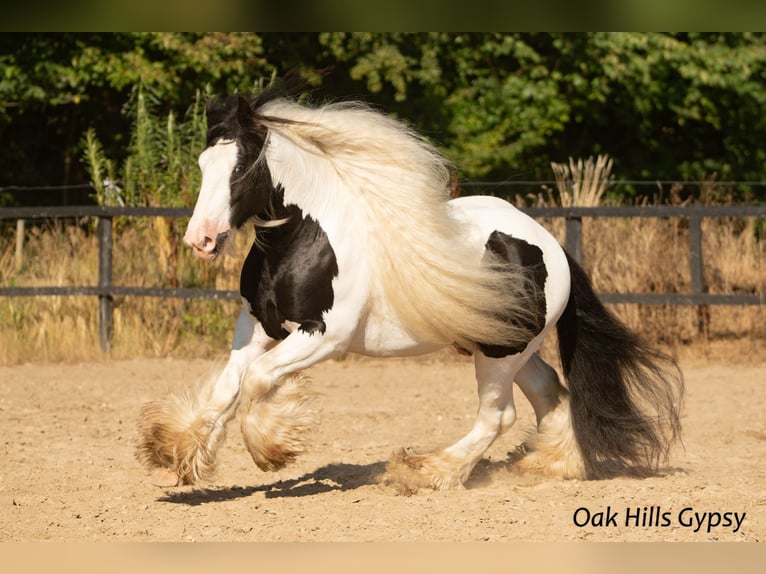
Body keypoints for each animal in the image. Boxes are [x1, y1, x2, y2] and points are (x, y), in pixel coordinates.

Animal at [136, 83, 684, 492]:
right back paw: (548, 465)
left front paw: (272, 449)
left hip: (500, 355)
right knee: (549, 391)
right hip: (509, 348)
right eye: (203, 164)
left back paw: (426, 472)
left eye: (241, 167)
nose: (201, 239)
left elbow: (256, 381)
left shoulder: (323, 337)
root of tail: (550, 246)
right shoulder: (256, 324)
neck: (304, 238)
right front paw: (175, 455)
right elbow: (227, 389)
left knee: (498, 416)